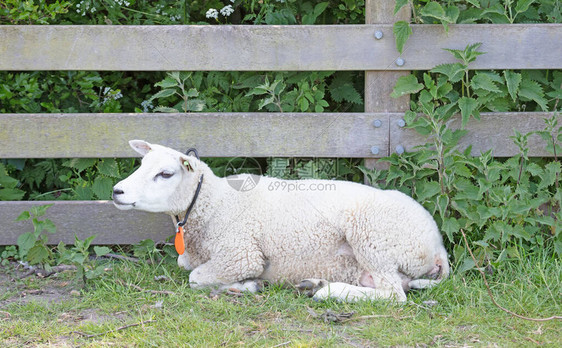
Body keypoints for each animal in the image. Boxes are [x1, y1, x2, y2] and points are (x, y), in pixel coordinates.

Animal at [112, 139, 446, 302]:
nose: (117, 191)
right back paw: (314, 283)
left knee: (394, 295)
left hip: (374, 238)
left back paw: (327, 292)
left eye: (165, 174)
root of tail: (438, 246)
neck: (216, 203)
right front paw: (248, 286)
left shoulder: (240, 254)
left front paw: (246, 285)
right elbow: (185, 265)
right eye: (141, 164)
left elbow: (196, 277)